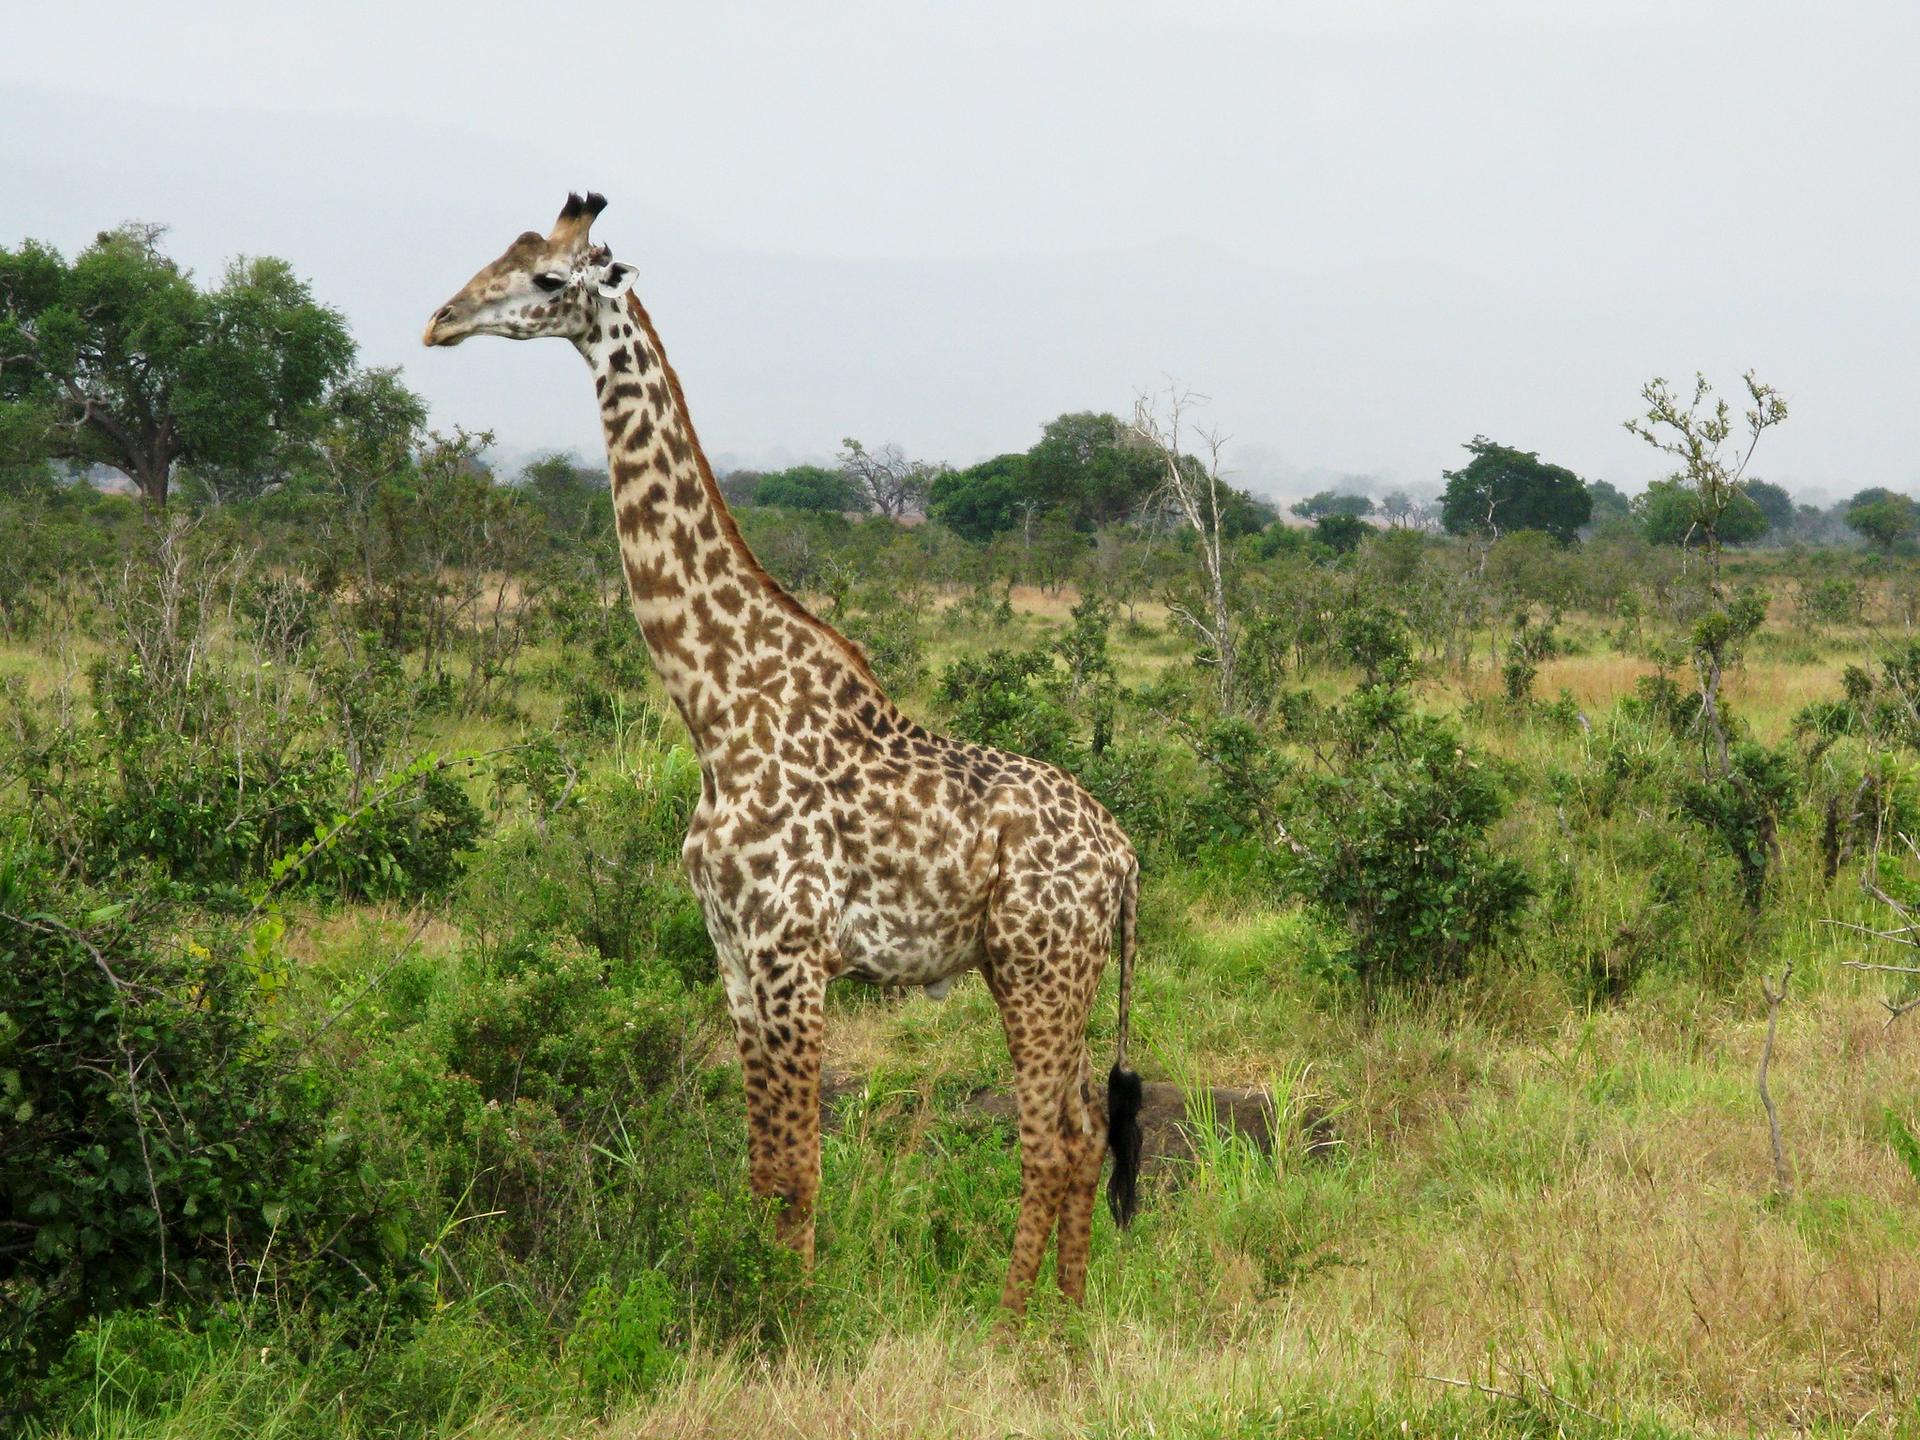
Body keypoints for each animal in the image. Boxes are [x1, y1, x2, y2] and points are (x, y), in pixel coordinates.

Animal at [424, 193, 1143, 1313]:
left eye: (546, 279)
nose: (441, 320)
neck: (718, 708)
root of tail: (1124, 859)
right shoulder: (732, 952)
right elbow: (763, 1167)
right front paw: (761, 1303)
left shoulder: (793, 949)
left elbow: (800, 1170)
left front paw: (792, 1323)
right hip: (1035, 968)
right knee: (1080, 1131)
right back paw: (1066, 1317)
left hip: (1040, 963)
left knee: (1053, 1141)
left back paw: (1012, 1325)